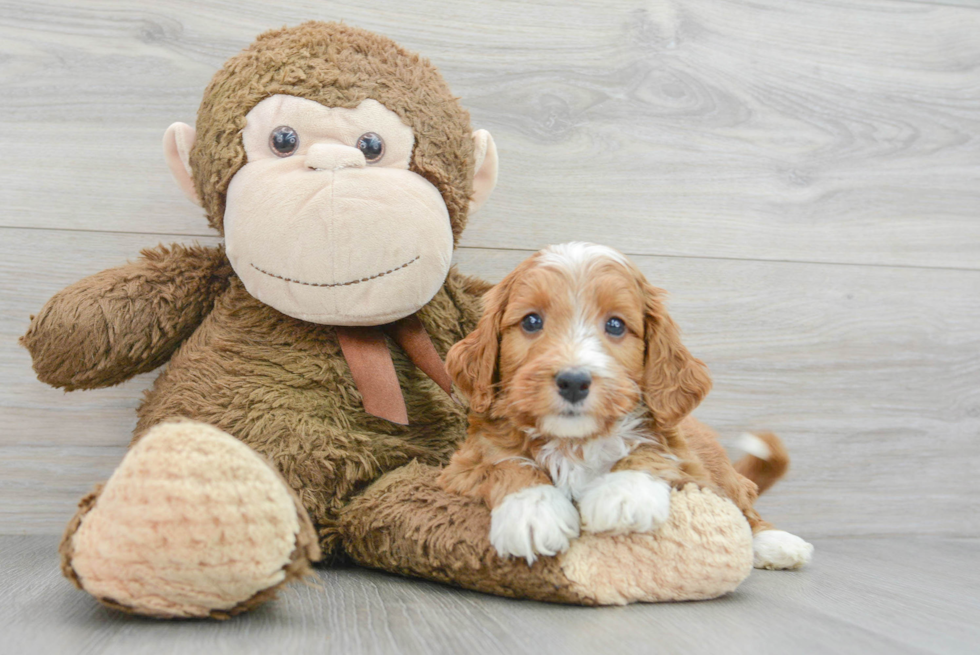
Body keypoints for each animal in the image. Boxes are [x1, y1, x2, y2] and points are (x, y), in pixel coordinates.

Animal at [440, 243, 816, 572]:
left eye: (616, 325)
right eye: (532, 321)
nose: (573, 381)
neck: (574, 441)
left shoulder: (687, 463)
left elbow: (651, 450)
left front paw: (624, 494)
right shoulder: (462, 465)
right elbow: (502, 463)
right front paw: (532, 510)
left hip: (721, 474)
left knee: (744, 504)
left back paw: (776, 543)